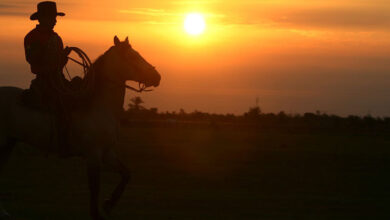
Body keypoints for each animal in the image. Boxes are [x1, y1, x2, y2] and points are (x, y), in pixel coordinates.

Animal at [0, 35, 160, 219]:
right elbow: (94, 188)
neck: (98, 105)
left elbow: (126, 173)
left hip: (8, 143)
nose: (157, 77)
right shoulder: (93, 155)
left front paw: (108, 205)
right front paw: (97, 213)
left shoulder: (107, 152)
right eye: (133, 57)